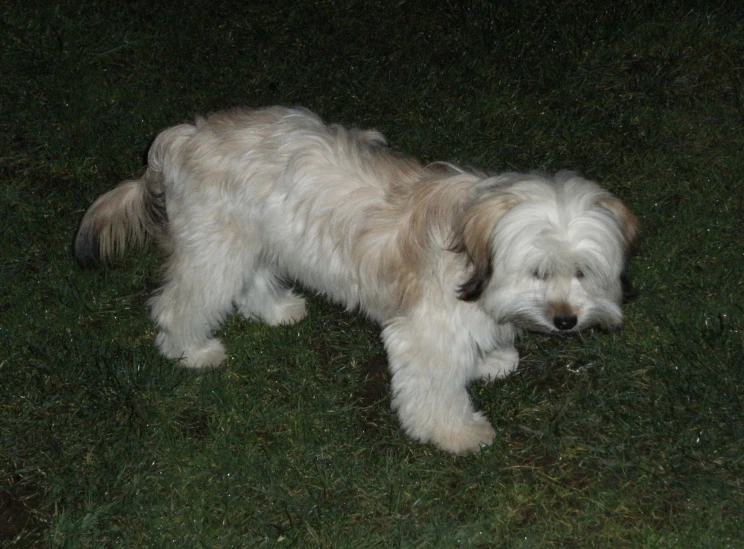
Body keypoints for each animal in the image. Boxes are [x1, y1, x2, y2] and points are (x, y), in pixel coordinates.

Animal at [72, 107, 636, 454]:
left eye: (583, 272)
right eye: (540, 272)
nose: (566, 321)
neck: (474, 246)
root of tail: (184, 136)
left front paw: (493, 358)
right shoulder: (424, 333)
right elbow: (435, 390)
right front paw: (455, 432)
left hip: (253, 239)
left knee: (250, 281)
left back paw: (276, 308)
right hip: (216, 249)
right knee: (180, 303)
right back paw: (191, 349)